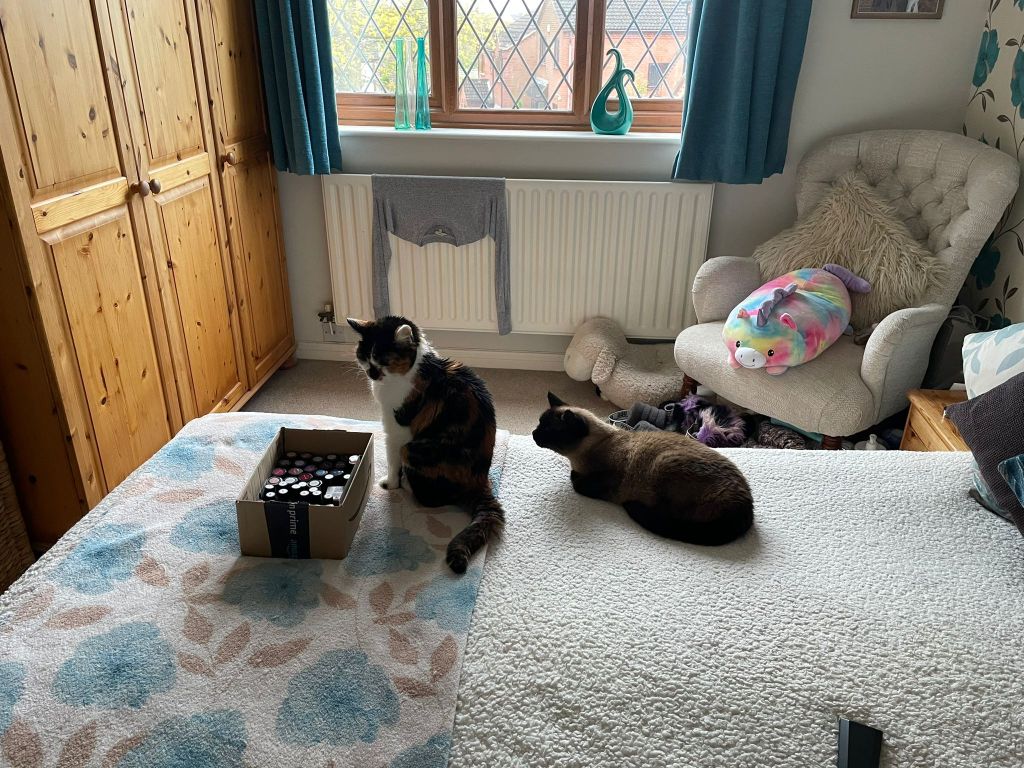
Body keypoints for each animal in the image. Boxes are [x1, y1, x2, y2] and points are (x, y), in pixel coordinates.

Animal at [347, 316, 504, 573]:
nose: (372, 373)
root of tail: (480, 479)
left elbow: (392, 460)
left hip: (413, 450)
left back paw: (410, 486)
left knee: (432, 499)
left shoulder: (396, 430)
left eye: (383, 360)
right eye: (365, 357)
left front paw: (390, 484)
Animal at [532, 392, 754, 545]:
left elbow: (576, 482)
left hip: (663, 463)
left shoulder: (607, 480)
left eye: (547, 429)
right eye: (539, 424)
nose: (533, 433)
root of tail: (745, 504)